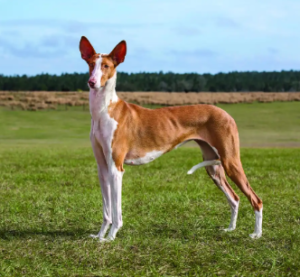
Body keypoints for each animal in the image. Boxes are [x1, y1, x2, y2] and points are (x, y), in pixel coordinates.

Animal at [79, 36, 262, 239]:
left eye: (106, 66)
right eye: (91, 64)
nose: (92, 82)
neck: (105, 110)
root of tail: (226, 113)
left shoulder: (116, 168)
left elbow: (116, 210)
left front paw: (111, 236)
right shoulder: (103, 168)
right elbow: (106, 210)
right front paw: (100, 236)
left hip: (230, 161)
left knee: (256, 199)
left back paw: (256, 234)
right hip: (214, 167)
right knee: (235, 198)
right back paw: (231, 228)